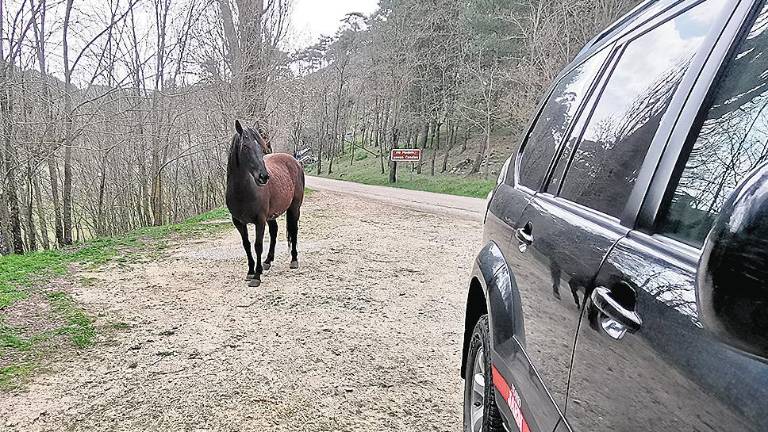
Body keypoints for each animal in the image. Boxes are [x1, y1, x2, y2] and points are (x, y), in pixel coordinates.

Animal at [225, 120, 304, 286]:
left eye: (261, 148)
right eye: (245, 147)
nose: (263, 176)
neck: (243, 192)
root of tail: (295, 161)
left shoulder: (259, 220)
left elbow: (258, 245)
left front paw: (257, 275)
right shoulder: (238, 222)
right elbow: (247, 245)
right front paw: (250, 271)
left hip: (294, 208)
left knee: (293, 230)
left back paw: (294, 260)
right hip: (271, 215)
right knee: (274, 231)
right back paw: (268, 261)